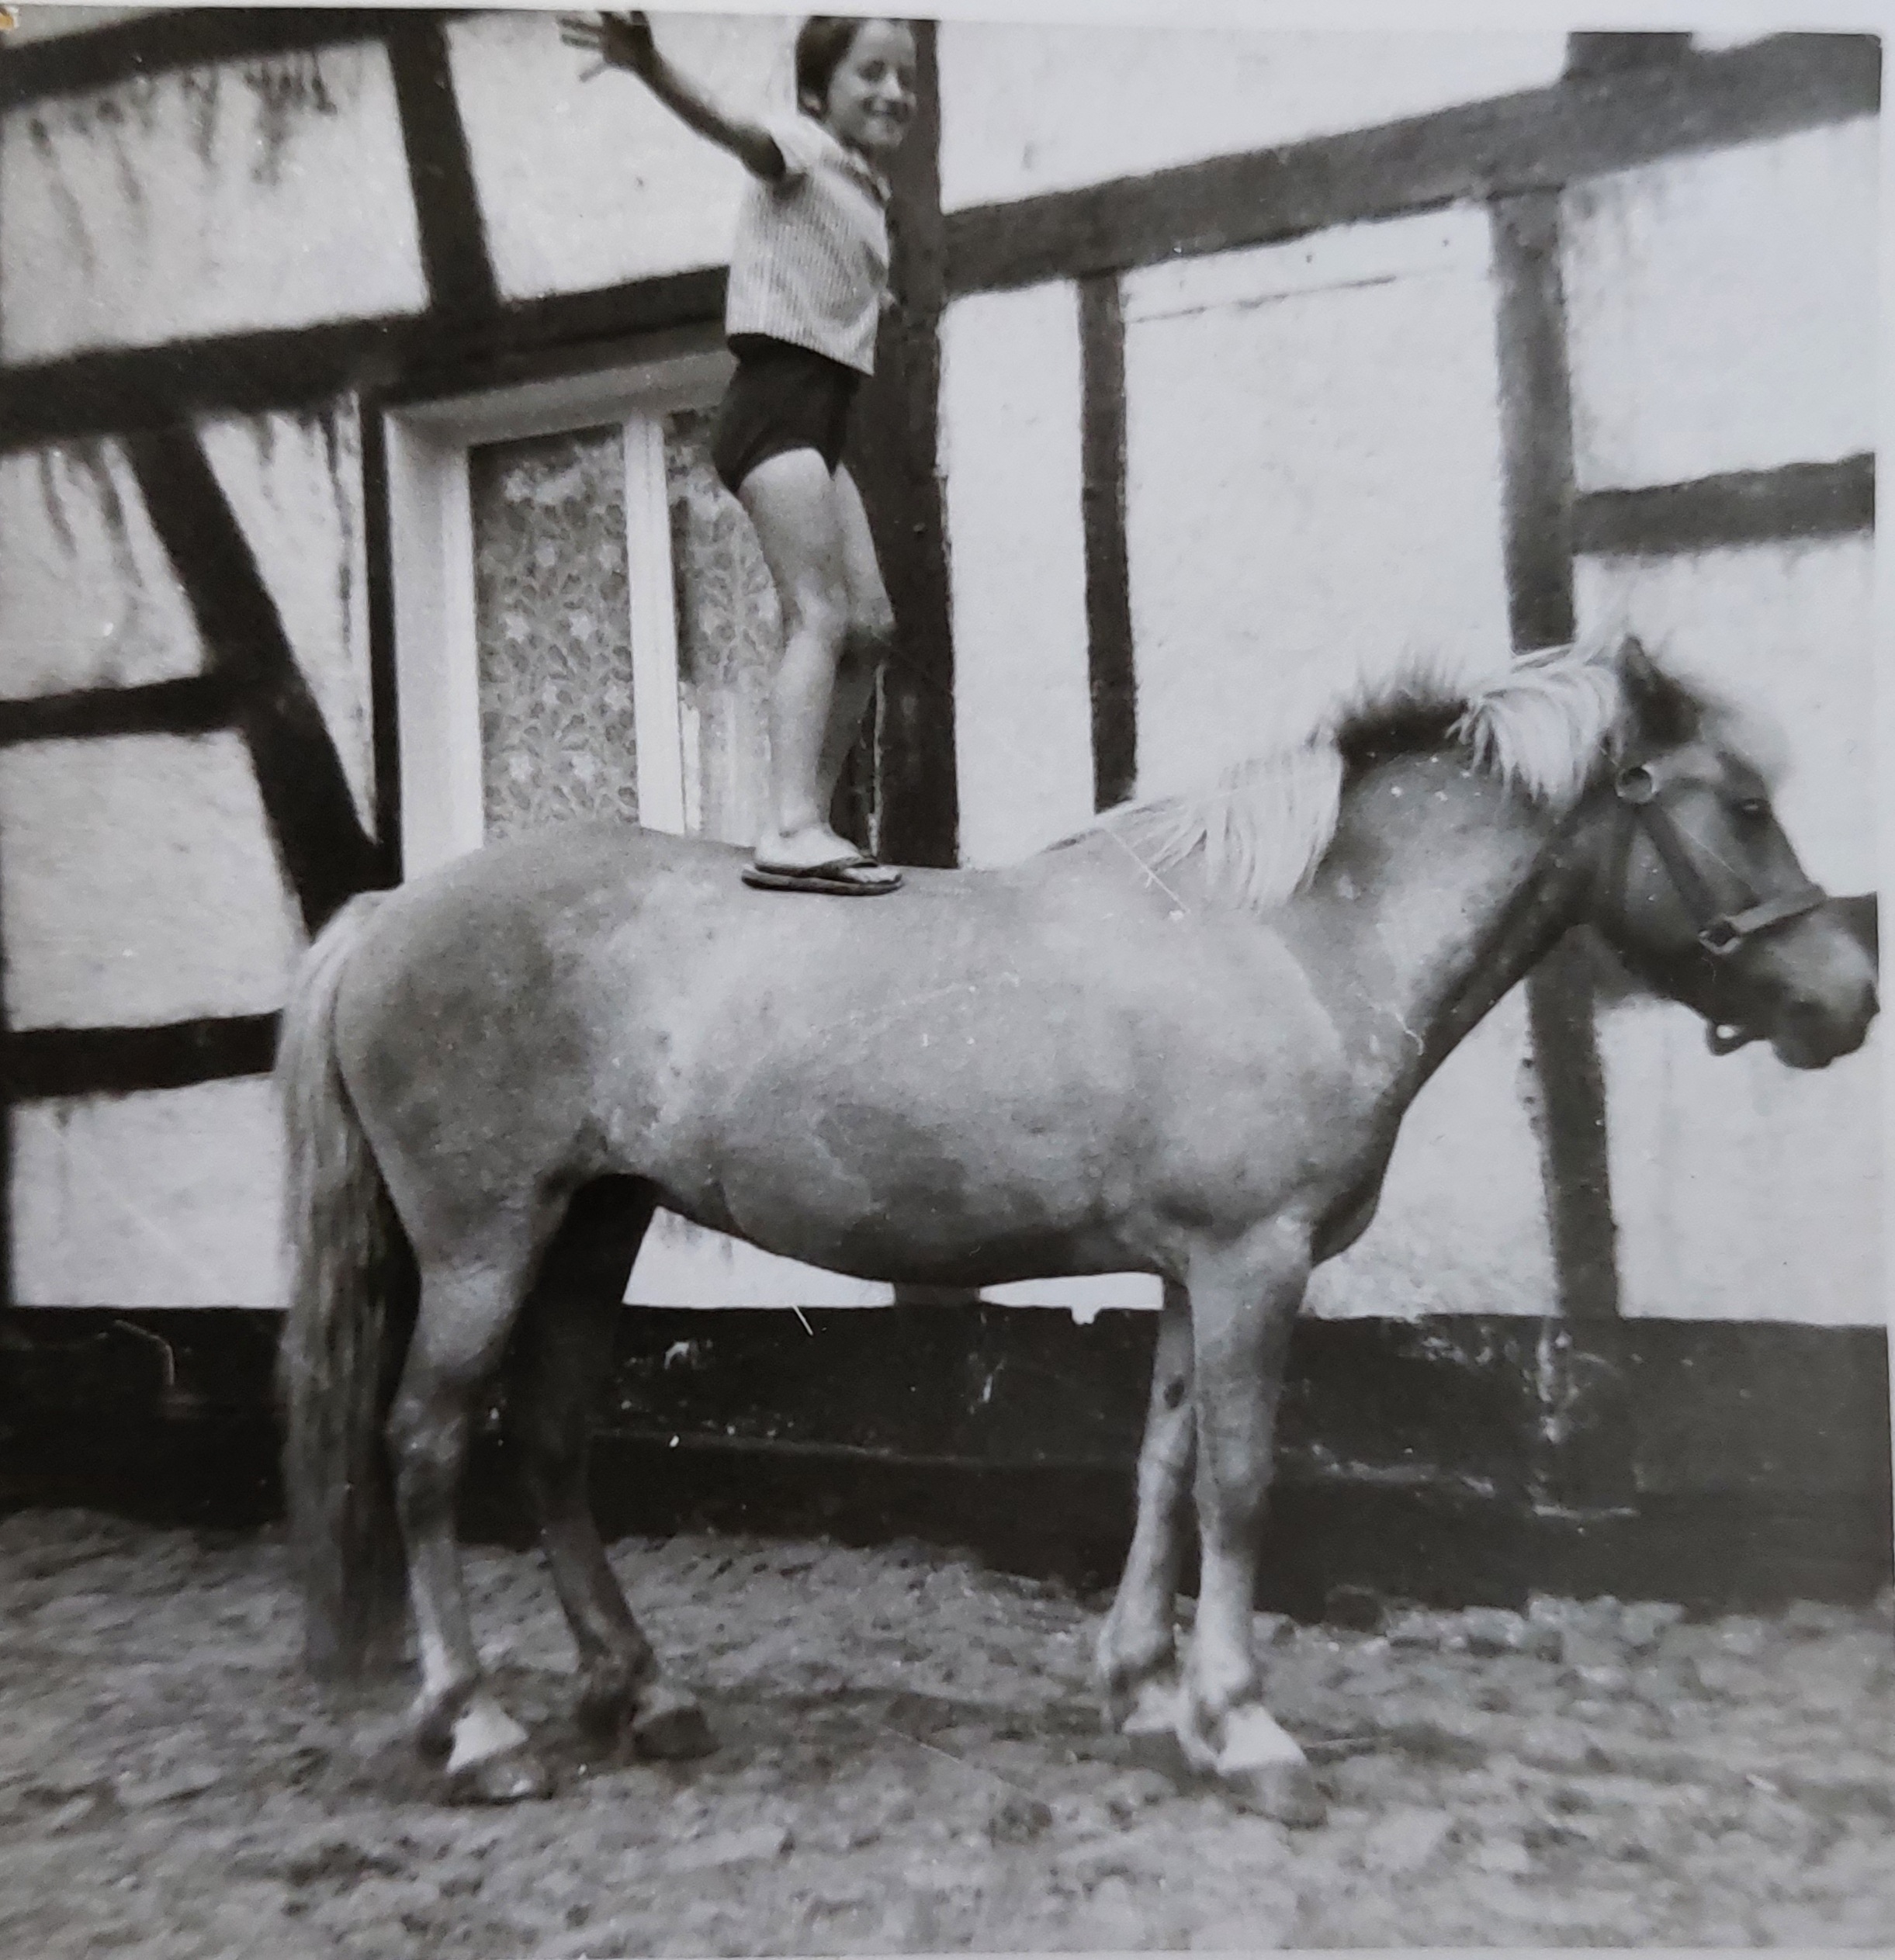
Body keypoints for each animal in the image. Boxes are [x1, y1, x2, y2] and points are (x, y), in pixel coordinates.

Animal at [274, 639, 1873, 1819]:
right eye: (1741, 803)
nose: (1846, 1001)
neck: (1290, 932)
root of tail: (388, 911)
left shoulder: (1189, 1270)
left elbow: (1162, 1467)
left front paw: (1149, 1700)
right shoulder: (1251, 1263)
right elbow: (1238, 1481)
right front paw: (1245, 1729)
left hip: (591, 1225)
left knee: (547, 1437)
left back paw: (640, 1691)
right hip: (486, 1240)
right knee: (425, 1444)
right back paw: (481, 1729)